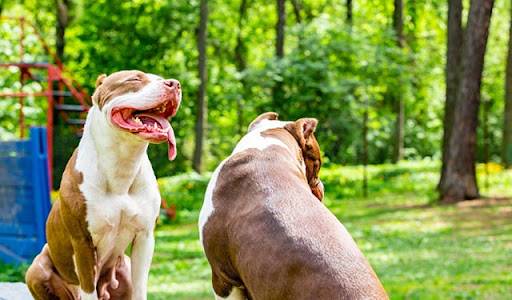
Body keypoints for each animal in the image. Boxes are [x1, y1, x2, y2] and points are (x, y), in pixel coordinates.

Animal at [26, 71, 182, 300]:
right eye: (134, 79)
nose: (175, 84)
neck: (122, 166)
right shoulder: (82, 242)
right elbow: (88, 289)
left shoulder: (145, 237)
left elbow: (140, 287)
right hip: (37, 268)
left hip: (124, 266)